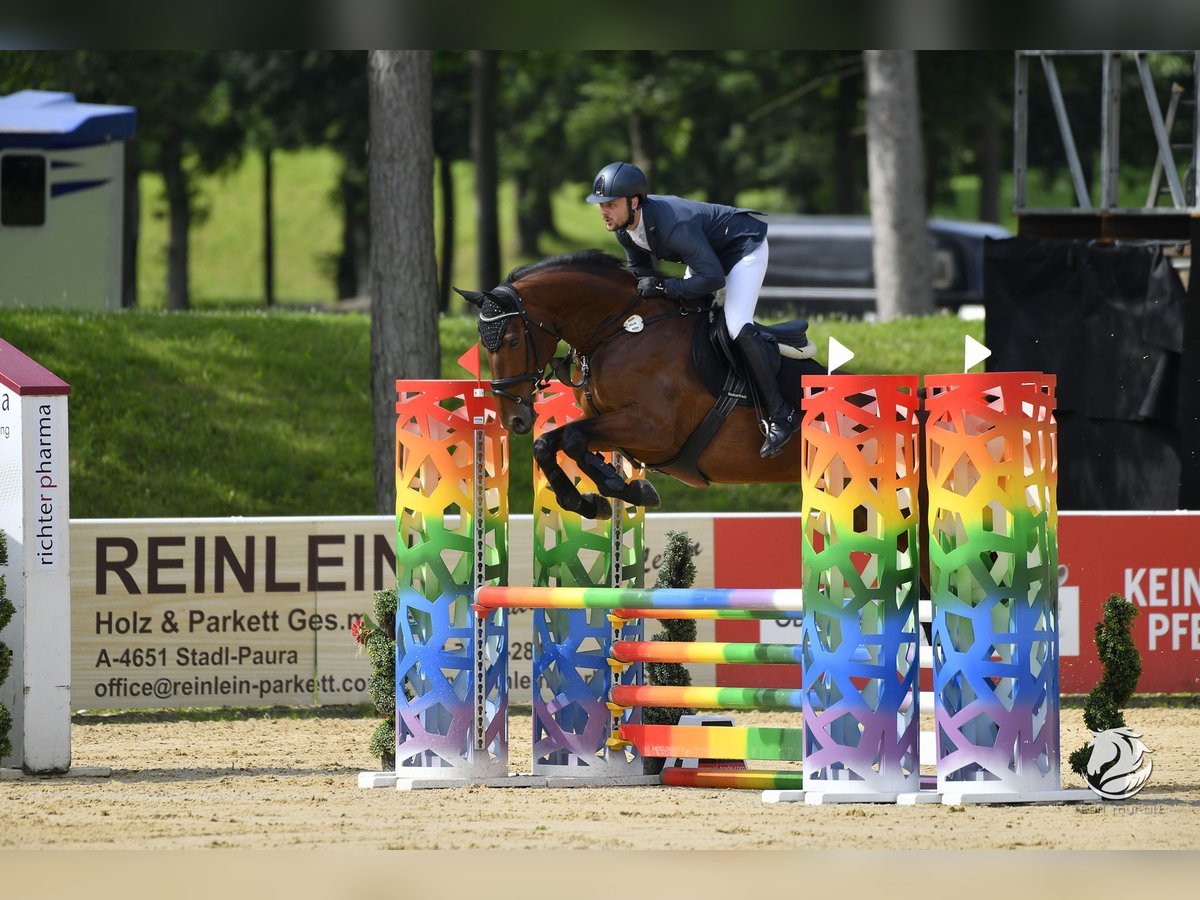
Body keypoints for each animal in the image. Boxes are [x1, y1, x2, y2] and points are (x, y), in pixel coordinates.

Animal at [451, 252, 825, 520]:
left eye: (512, 341)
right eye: (484, 344)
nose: (514, 420)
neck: (620, 328)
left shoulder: (654, 430)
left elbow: (572, 439)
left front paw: (621, 486)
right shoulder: (612, 424)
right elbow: (549, 443)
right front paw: (588, 501)